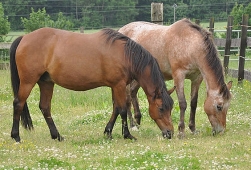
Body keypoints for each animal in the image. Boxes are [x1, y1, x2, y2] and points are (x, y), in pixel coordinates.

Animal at [9, 27, 175, 142]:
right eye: (161, 108)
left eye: (171, 108)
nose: (170, 133)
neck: (126, 55)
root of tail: (24, 37)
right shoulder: (119, 85)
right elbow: (122, 110)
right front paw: (127, 135)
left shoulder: (114, 86)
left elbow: (115, 108)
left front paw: (108, 132)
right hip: (28, 81)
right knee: (18, 103)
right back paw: (16, 136)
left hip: (46, 83)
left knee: (45, 107)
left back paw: (57, 136)